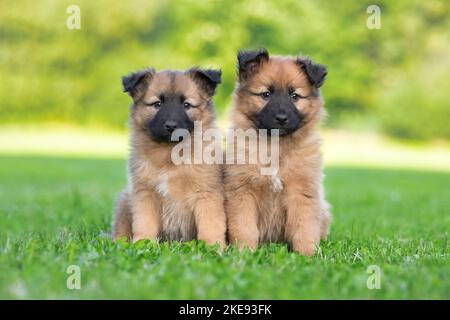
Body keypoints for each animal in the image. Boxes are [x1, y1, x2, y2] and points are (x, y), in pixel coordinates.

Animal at [112, 67, 225, 248]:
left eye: (186, 105)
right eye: (157, 104)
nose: (171, 126)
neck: (169, 155)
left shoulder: (206, 194)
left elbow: (210, 225)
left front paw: (212, 247)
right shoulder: (145, 194)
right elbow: (144, 224)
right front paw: (143, 244)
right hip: (125, 200)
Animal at [227, 48, 332, 256]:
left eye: (295, 96)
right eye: (266, 94)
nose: (282, 118)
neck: (276, 148)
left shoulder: (302, 193)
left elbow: (304, 228)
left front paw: (307, 255)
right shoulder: (242, 192)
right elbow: (244, 228)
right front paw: (244, 253)